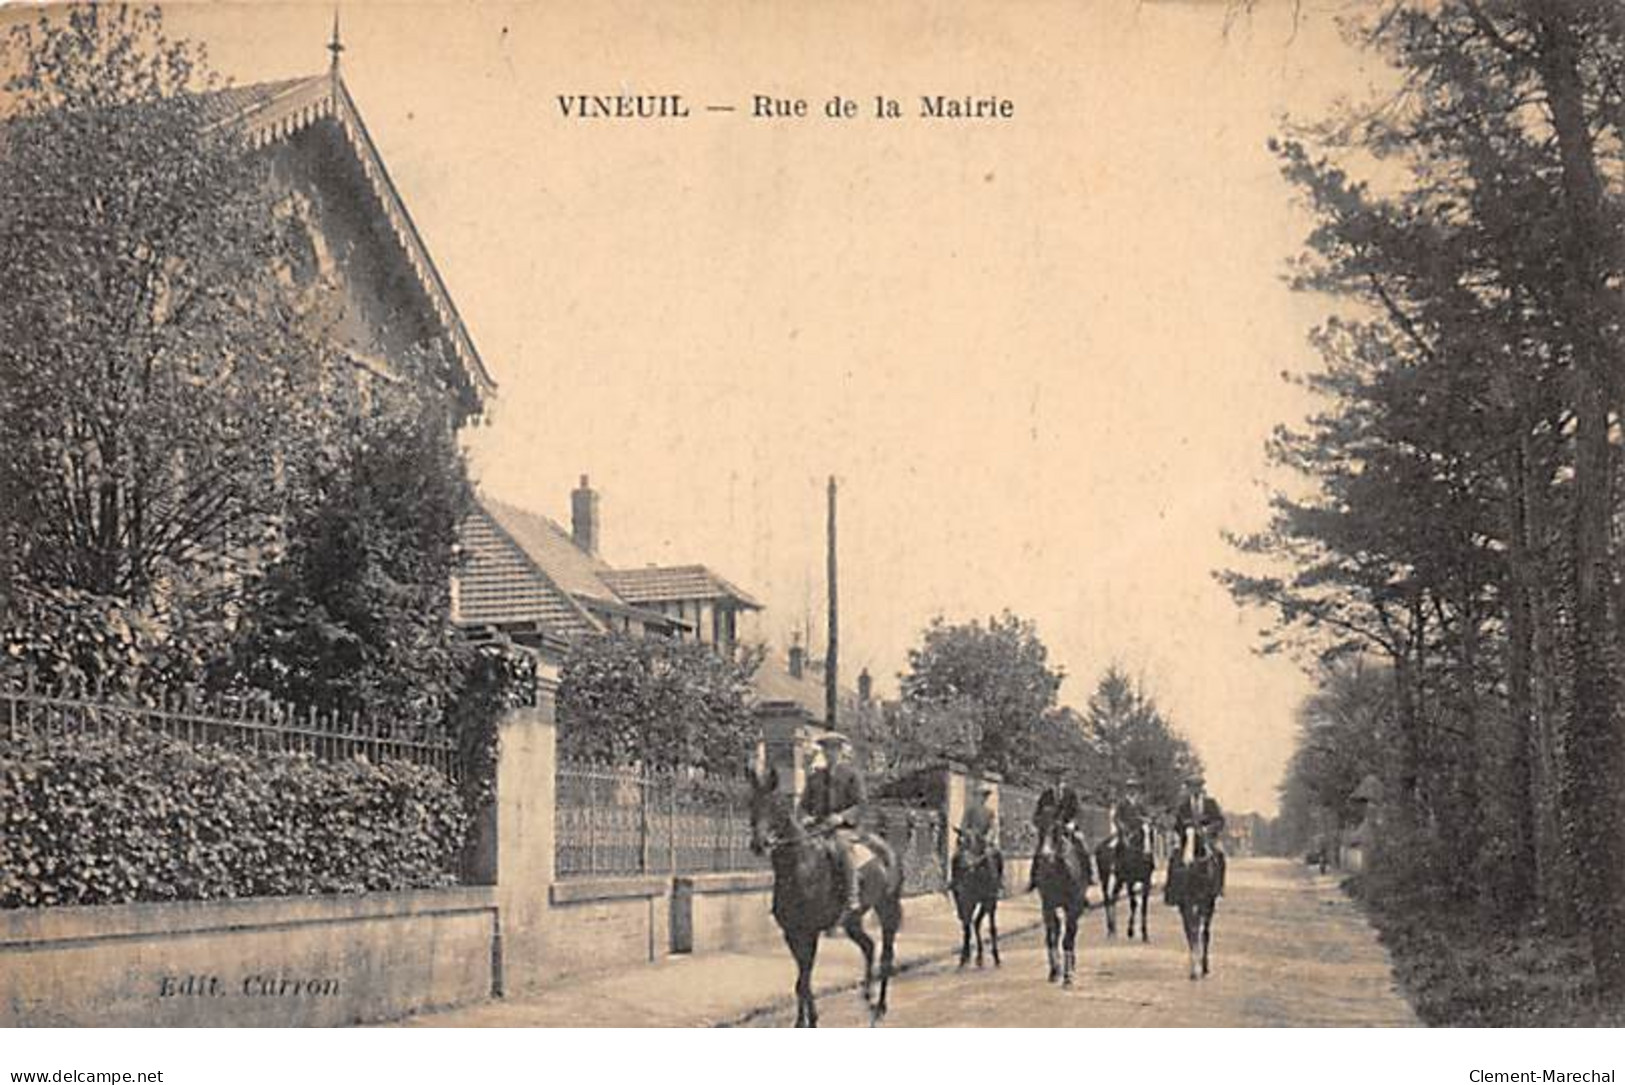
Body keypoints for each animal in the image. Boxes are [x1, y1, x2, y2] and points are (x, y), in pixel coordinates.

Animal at [744, 763, 903, 1026]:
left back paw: (880, 1007)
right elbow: (802, 981)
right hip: (852, 921)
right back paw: (867, 996)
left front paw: (809, 1020)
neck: (800, 868)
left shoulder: (811, 932)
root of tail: (885, 848)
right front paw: (804, 1020)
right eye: (751, 803)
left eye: (777, 804)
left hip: (887, 907)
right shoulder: (792, 933)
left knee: (887, 957)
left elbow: (804, 979)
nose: (759, 844)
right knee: (868, 946)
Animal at [949, 825, 994, 968]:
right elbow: (968, 924)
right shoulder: (963, 900)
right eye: (958, 841)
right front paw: (966, 956)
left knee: (972, 922)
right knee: (969, 923)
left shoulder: (985, 900)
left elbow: (972, 923)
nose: (961, 863)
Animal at [1027, 795, 1092, 981]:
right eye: (1039, 824)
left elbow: (1068, 938)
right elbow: (1052, 937)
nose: (1045, 856)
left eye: (1056, 828)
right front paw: (1054, 971)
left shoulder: (1073, 906)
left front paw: (1068, 974)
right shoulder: (1047, 905)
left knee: (1071, 933)